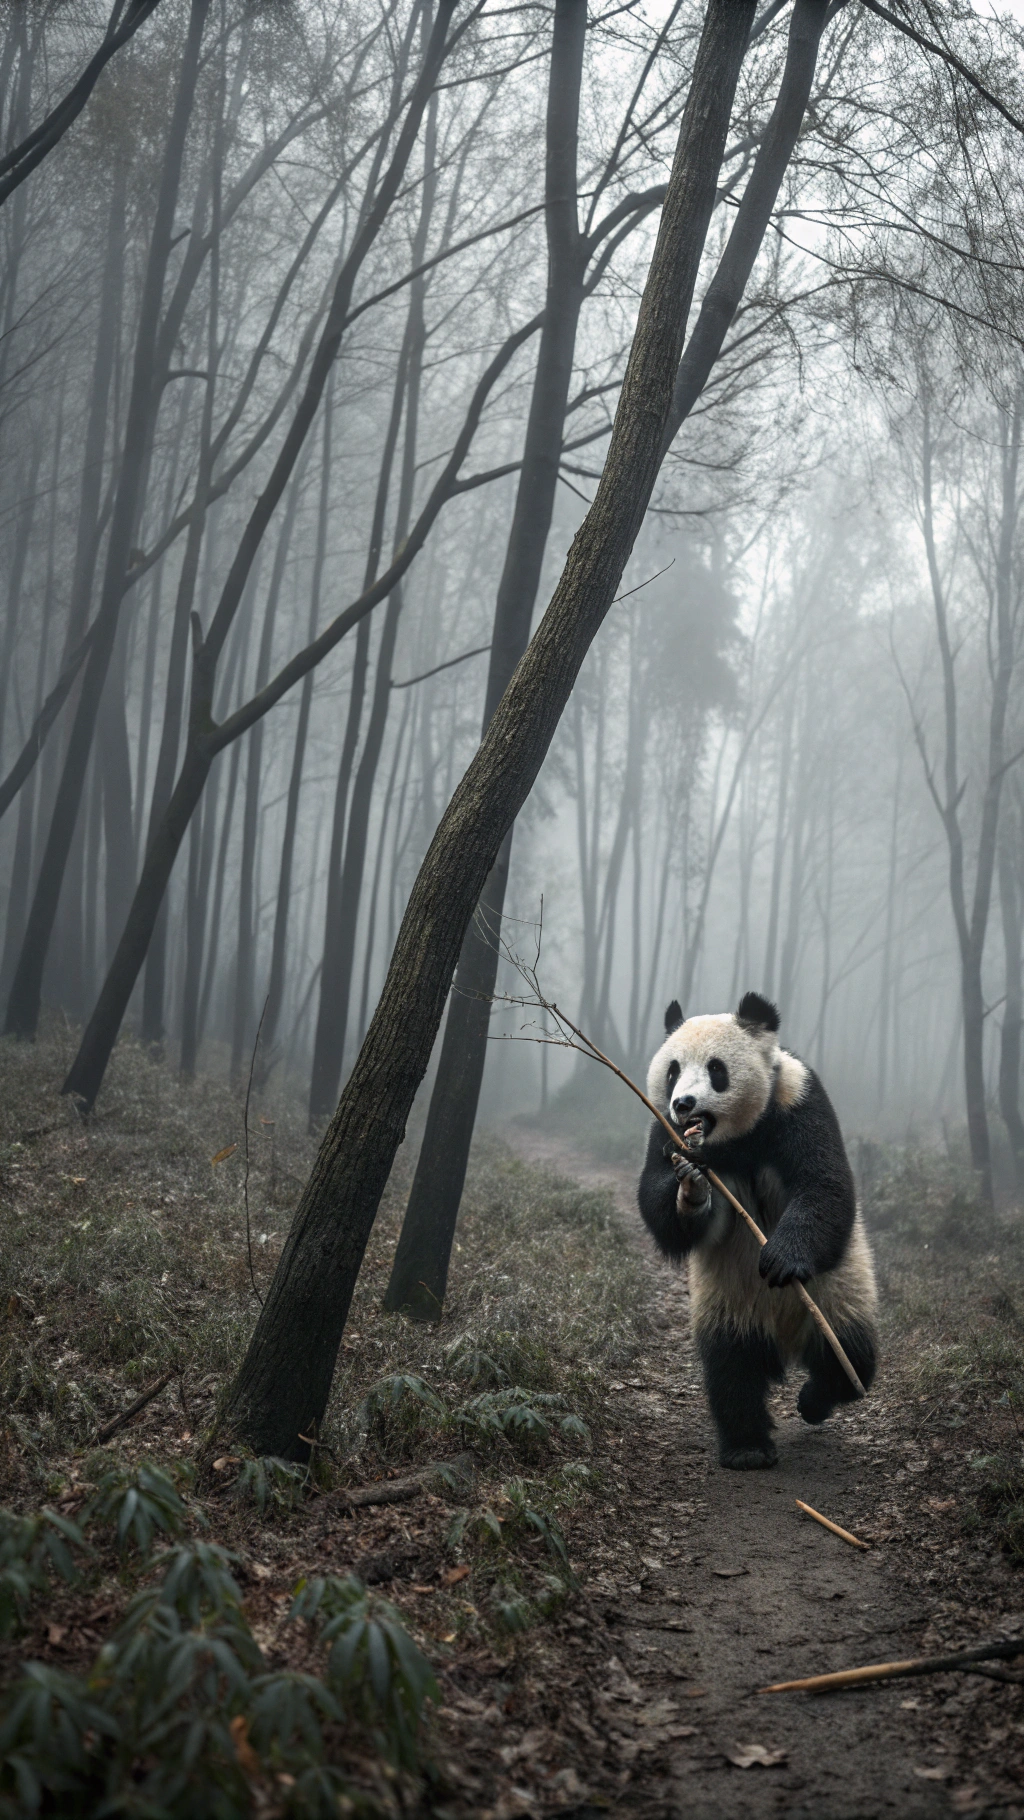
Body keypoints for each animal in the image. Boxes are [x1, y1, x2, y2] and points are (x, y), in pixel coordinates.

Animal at [637, 991, 877, 1470]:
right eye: (672, 1071)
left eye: (716, 1069)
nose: (683, 1104)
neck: (733, 1141)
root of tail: (784, 1336)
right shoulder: (664, 1130)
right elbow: (661, 1209)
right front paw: (692, 1189)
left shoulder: (797, 1102)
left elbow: (824, 1185)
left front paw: (781, 1259)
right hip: (727, 1299)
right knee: (732, 1368)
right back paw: (747, 1447)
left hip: (837, 1289)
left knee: (848, 1351)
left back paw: (814, 1400)